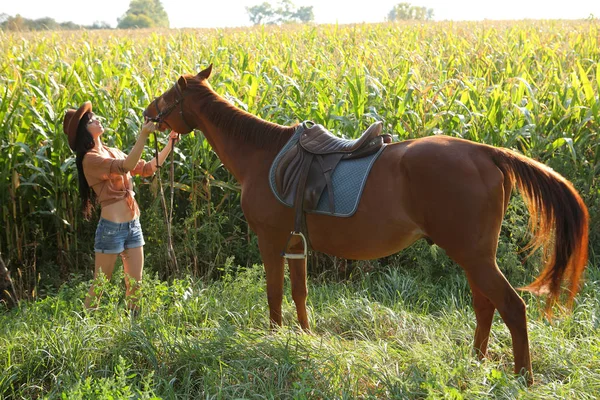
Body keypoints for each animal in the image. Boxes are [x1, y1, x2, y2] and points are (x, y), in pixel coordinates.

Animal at [143, 65, 588, 384]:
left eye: (168, 95)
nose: (147, 114)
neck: (262, 155)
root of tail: (485, 152)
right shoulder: (296, 242)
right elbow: (300, 294)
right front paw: (303, 339)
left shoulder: (270, 240)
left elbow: (274, 295)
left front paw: (271, 341)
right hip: (475, 257)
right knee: (485, 306)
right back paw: (475, 364)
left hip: (475, 257)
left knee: (511, 307)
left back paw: (522, 378)